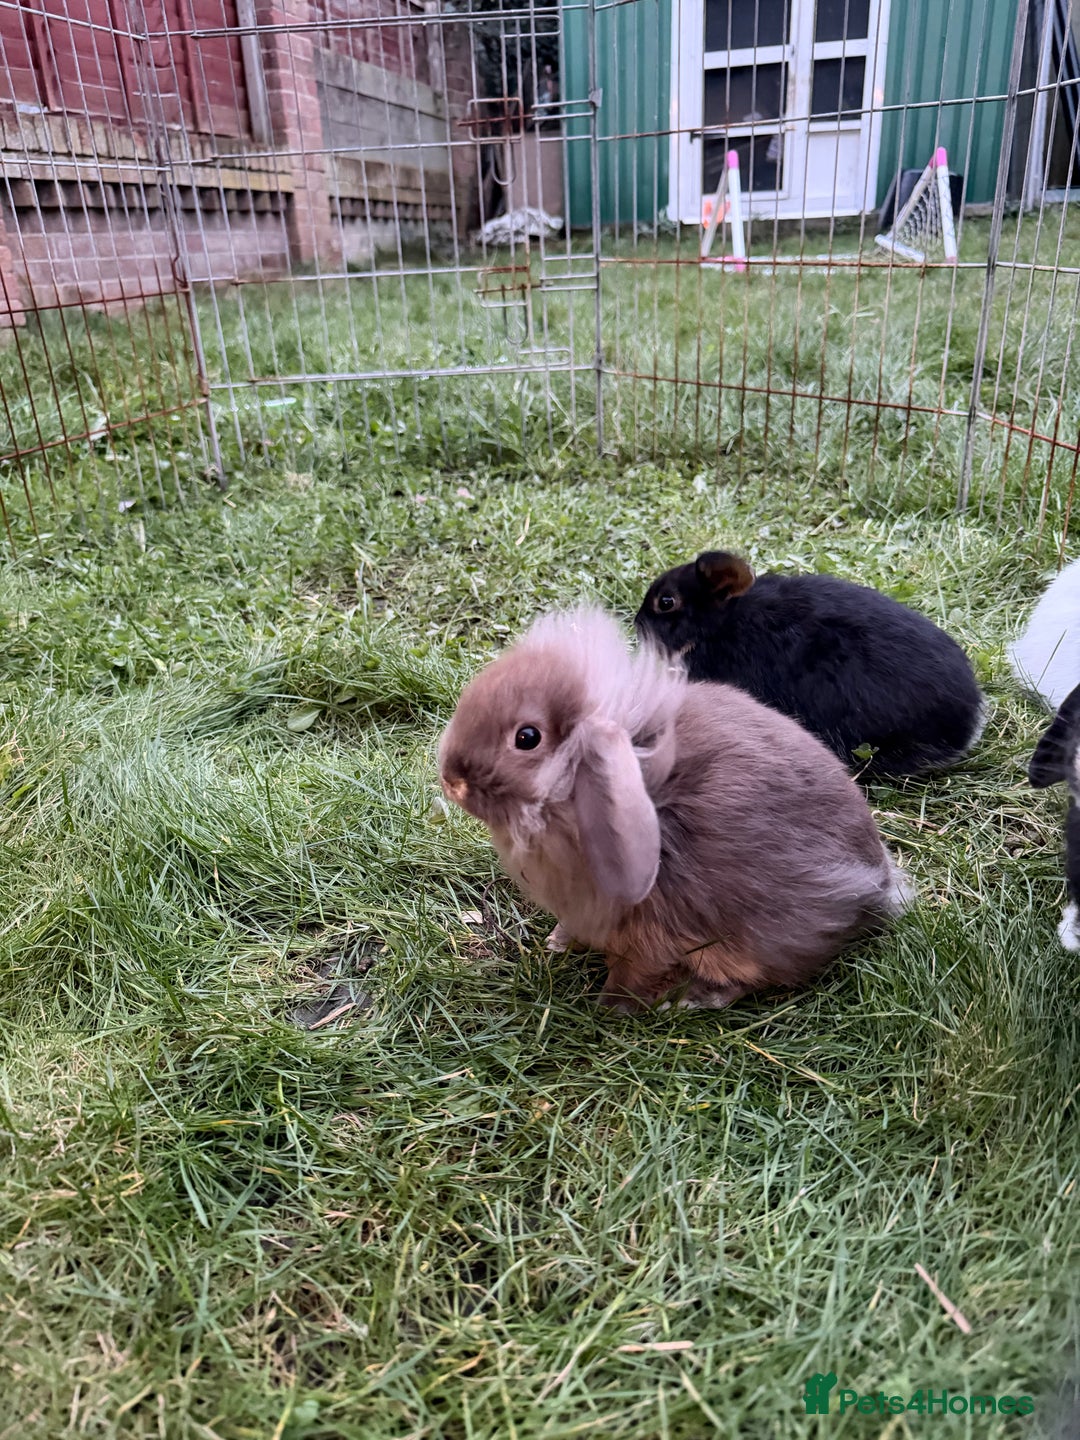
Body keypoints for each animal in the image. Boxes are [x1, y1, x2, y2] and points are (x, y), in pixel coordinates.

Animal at [438, 608, 912, 1011]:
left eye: (527, 737)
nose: (451, 780)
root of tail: (879, 886)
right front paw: (557, 943)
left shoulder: (648, 932)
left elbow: (633, 973)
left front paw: (609, 1008)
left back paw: (695, 999)